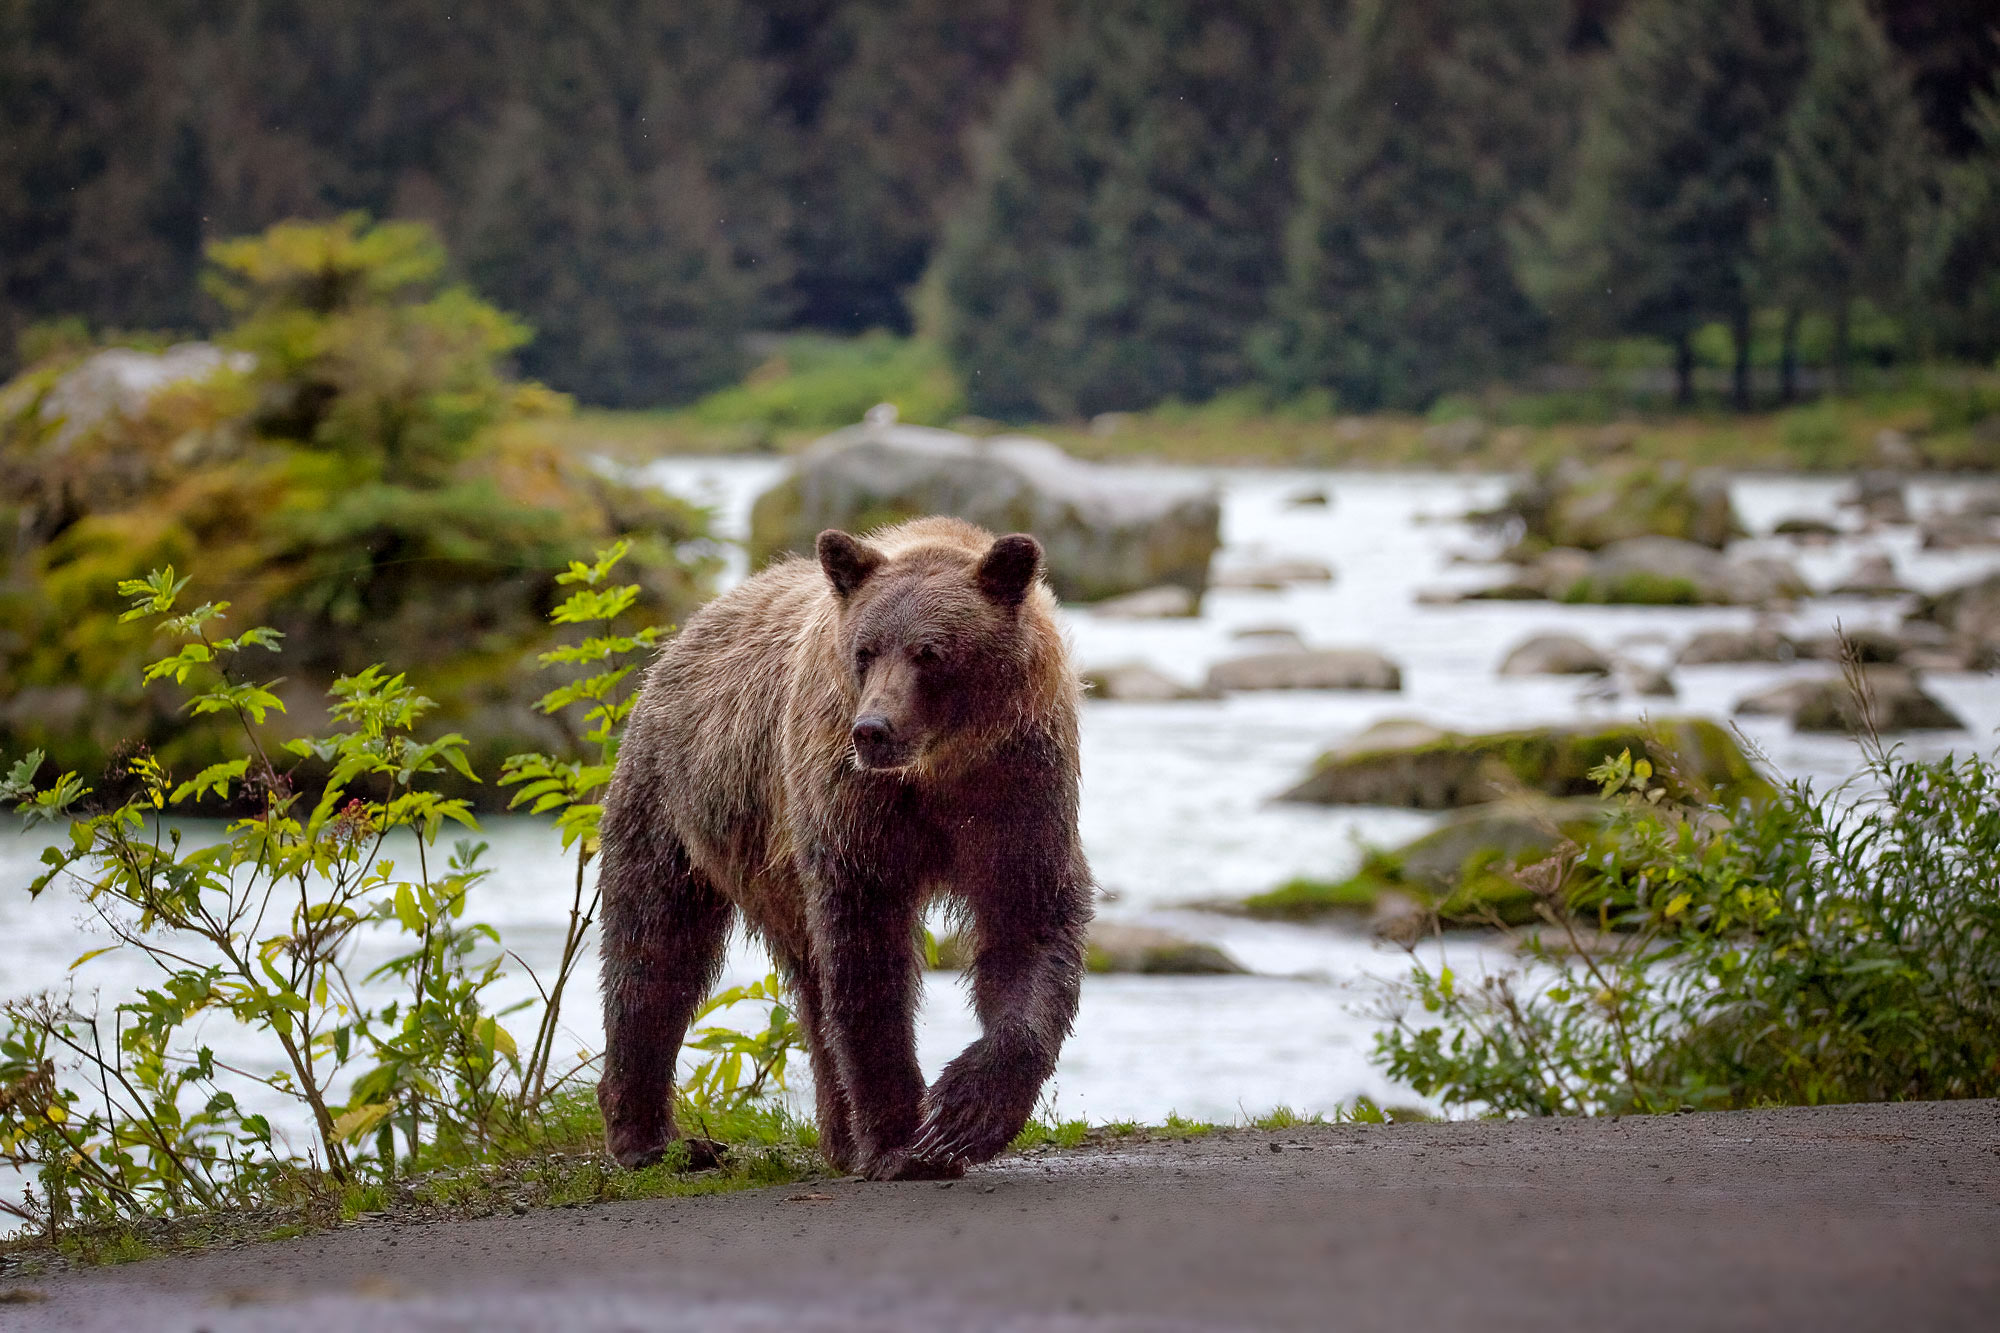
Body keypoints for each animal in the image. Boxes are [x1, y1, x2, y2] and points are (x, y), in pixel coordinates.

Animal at [592, 512, 1096, 1176]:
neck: (938, 768)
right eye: (865, 650)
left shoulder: (1018, 788)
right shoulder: (851, 802)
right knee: (655, 946)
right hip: (682, 801)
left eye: (930, 652)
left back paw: (838, 1137)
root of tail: (690, 628)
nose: (873, 729)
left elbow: (1029, 923)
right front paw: (901, 1139)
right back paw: (656, 1138)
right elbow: (865, 951)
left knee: (798, 979)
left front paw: (963, 1114)